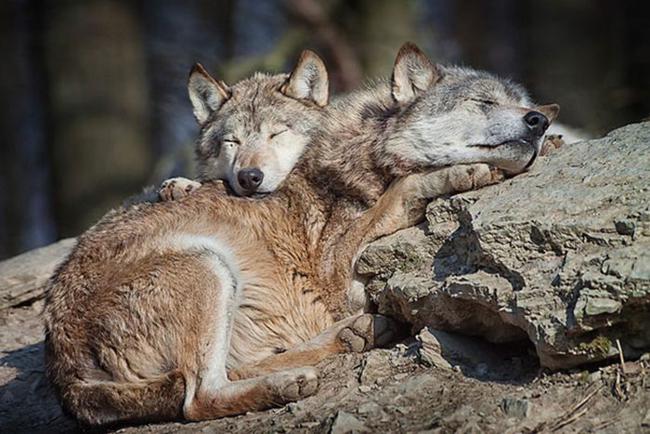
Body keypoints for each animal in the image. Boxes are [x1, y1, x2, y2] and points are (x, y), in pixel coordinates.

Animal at [43, 44, 556, 428]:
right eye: (483, 103)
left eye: (521, 103)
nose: (539, 120)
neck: (365, 153)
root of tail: (61, 366)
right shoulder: (338, 272)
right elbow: (402, 191)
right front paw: (458, 172)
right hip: (206, 263)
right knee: (197, 396)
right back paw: (289, 380)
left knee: (224, 373)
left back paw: (354, 336)